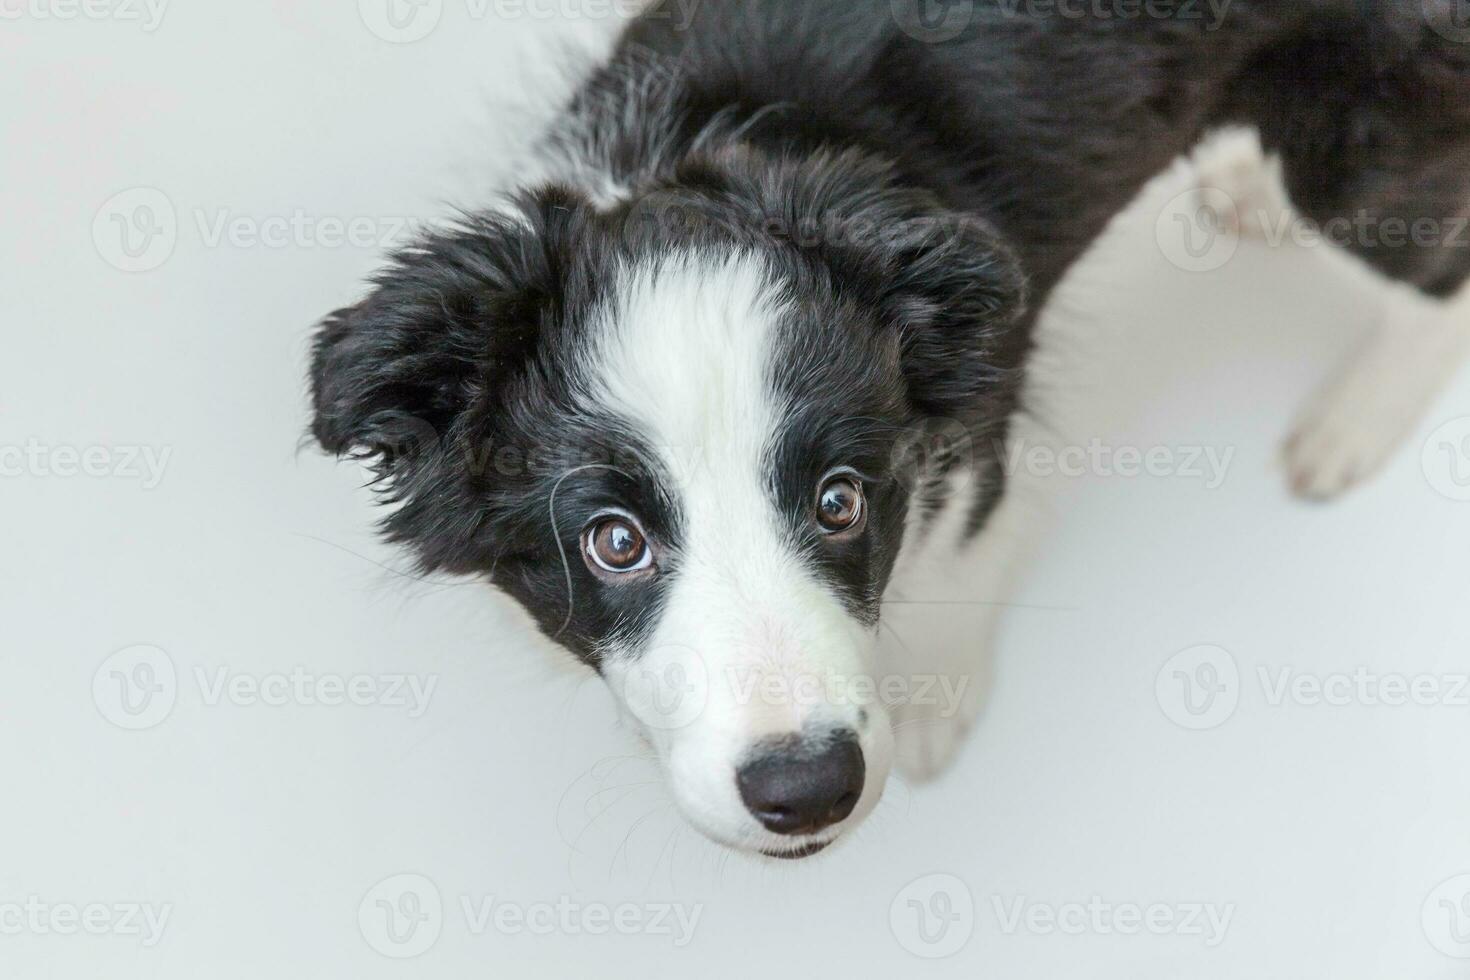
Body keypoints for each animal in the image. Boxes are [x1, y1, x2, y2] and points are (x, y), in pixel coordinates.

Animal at [310, 1, 1470, 858]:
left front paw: (934, 706)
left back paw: (1354, 421)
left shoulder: (980, 388)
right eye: (614, 541)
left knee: (1435, 269)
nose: (808, 789)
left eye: (840, 502)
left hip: (1360, 138)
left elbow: (961, 546)